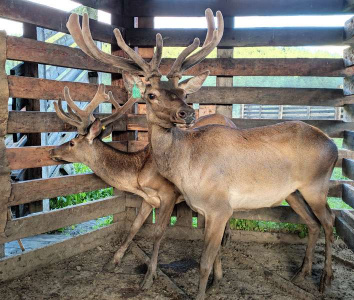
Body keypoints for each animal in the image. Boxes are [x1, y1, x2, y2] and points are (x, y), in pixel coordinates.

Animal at [48, 83, 234, 290]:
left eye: (72, 142)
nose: (52, 151)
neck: (138, 175)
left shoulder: (169, 194)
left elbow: (158, 233)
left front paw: (149, 276)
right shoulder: (148, 199)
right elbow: (134, 227)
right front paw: (113, 260)